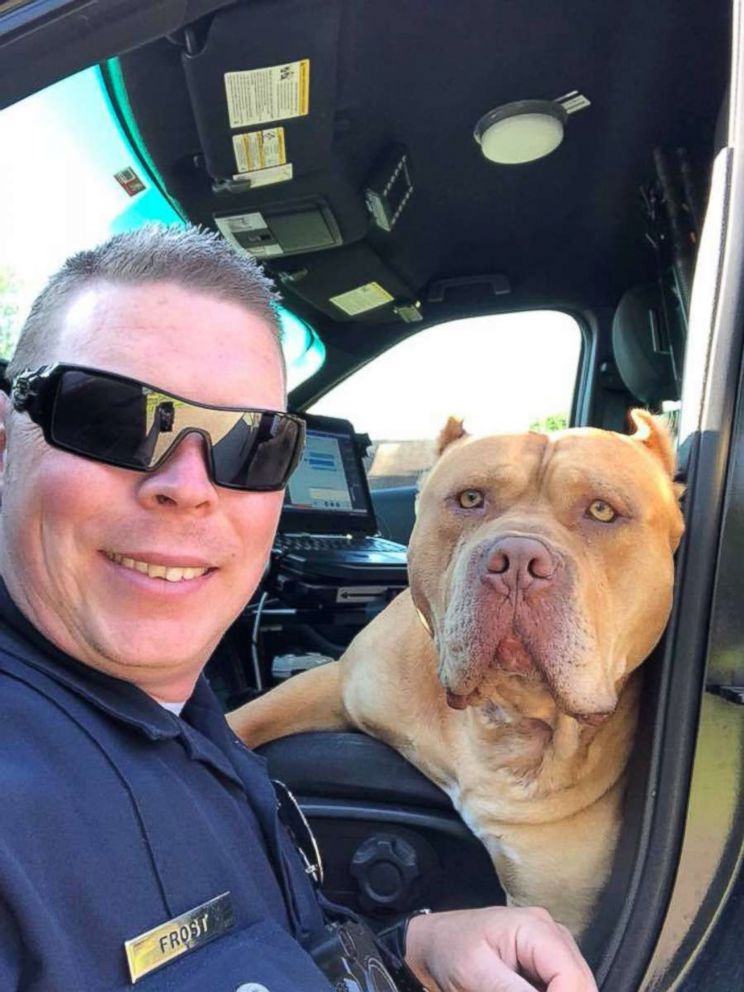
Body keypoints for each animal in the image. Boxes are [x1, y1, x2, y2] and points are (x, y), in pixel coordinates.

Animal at [230, 406, 684, 932]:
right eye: (470, 499)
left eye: (602, 511)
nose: (518, 560)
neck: (503, 715)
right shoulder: (337, 683)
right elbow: (238, 725)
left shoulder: (554, 913)